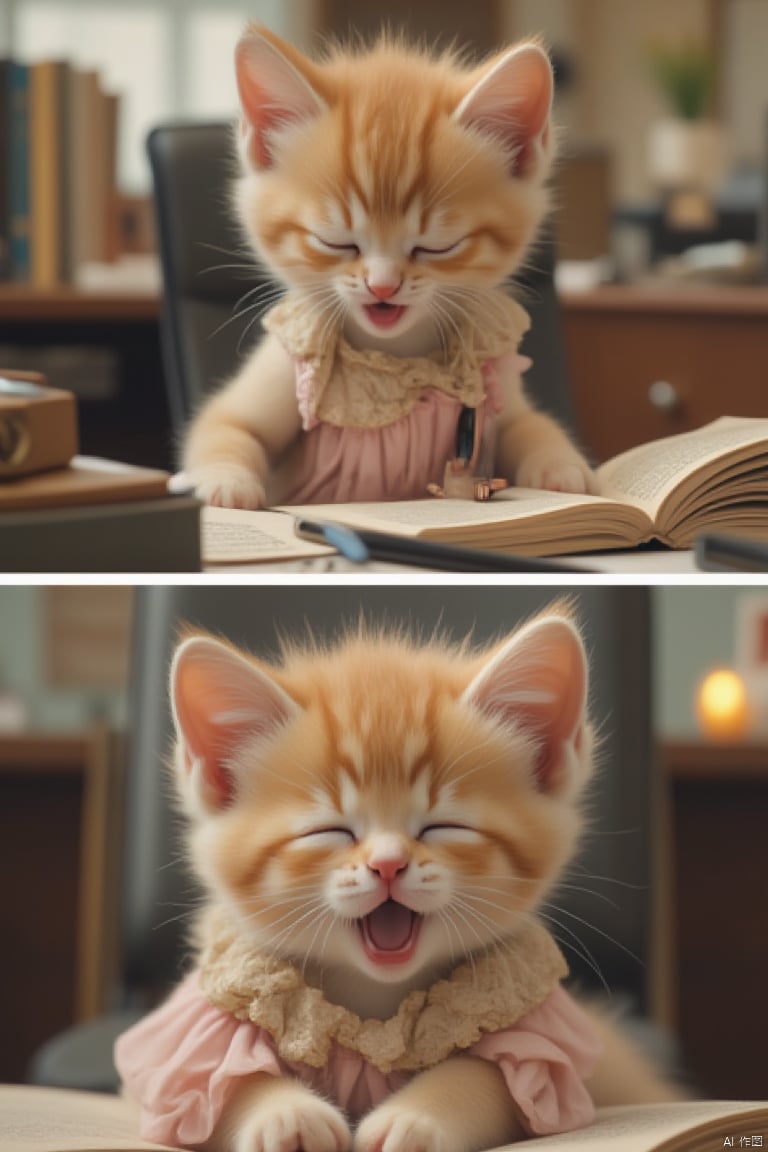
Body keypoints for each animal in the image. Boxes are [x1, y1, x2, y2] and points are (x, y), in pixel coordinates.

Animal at [113, 617, 677, 1152]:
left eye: (443, 827)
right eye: (330, 832)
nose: (388, 864)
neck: (373, 997)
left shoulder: (545, 1038)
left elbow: (493, 1074)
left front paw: (418, 1118)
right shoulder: (180, 1037)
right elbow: (209, 1078)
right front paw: (284, 1115)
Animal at [183, 25, 598, 509]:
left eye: (438, 247)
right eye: (335, 241)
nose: (382, 286)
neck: (395, 351)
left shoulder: (499, 388)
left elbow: (530, 425)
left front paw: (563, 469)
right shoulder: (274, 374)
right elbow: (226, 426)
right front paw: (224, 483)